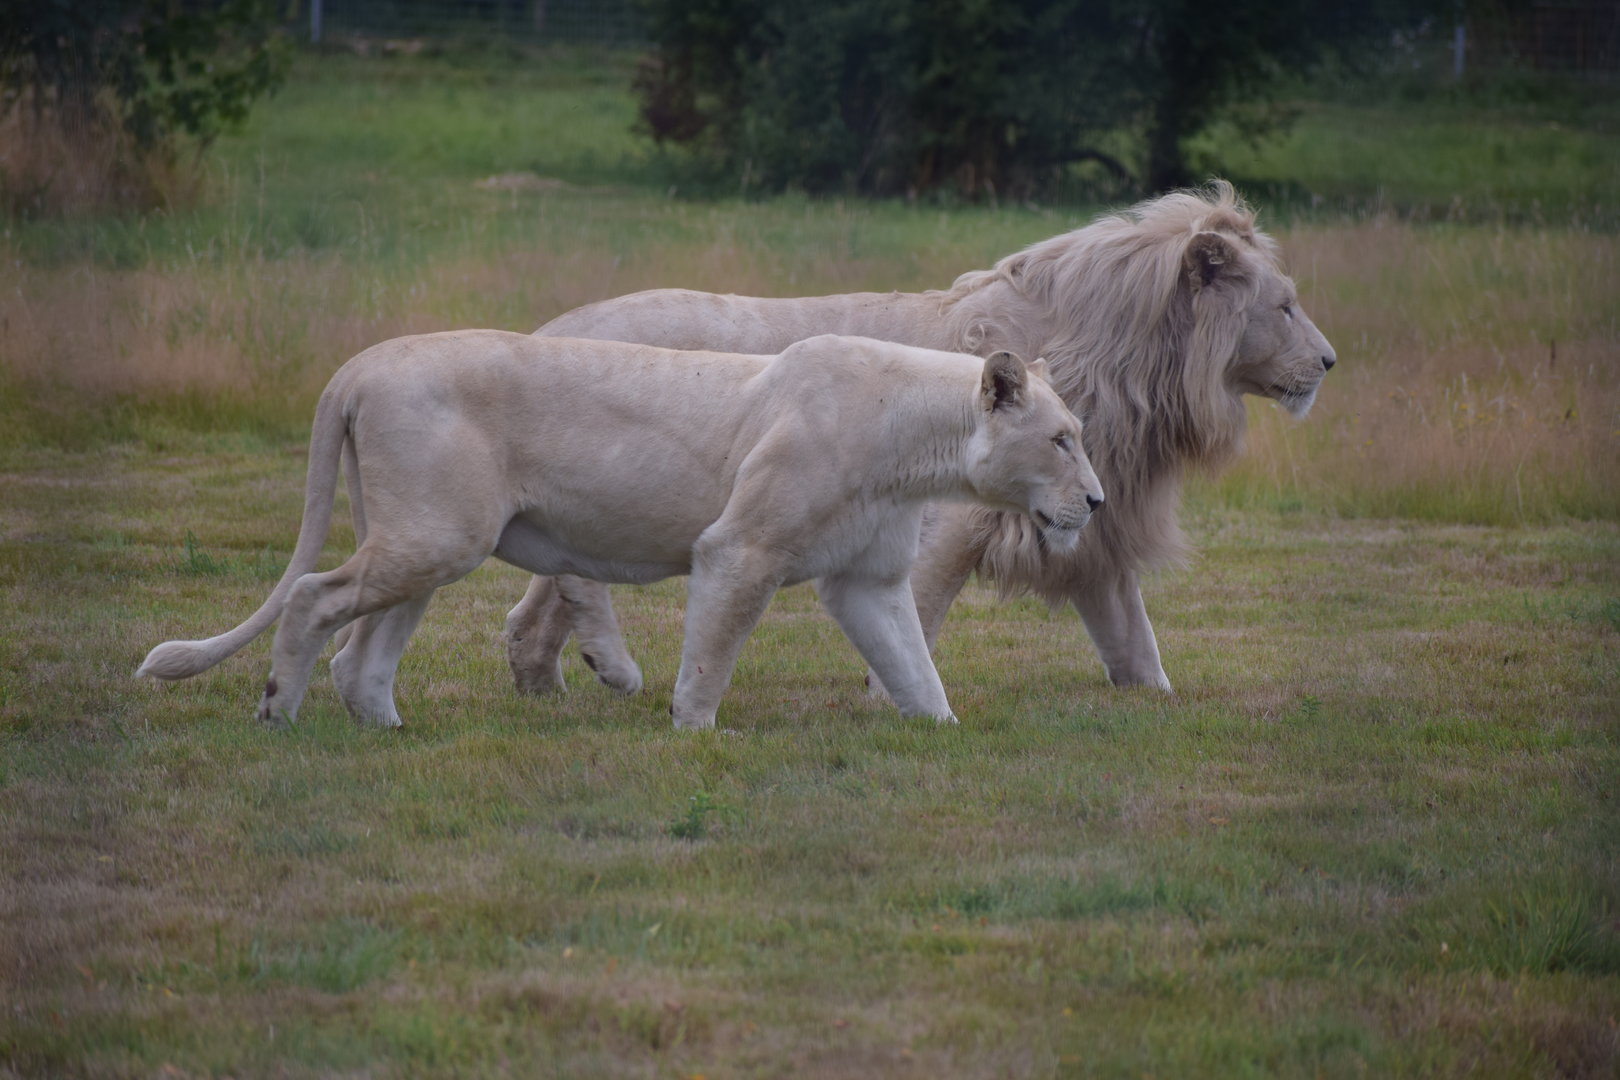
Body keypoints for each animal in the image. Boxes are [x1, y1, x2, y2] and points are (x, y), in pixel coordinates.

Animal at [136, 332, 1103, 730]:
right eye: (1061, 439)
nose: (1095, 503)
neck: (916, 447)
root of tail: (357, 367)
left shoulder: (865, 580)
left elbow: (912, 666)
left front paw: (942, 732)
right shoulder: (739, 550)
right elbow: (712, 653)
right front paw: (693, 734)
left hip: (432, 542)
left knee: (362, 649)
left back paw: (388, 730)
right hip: (435, 536)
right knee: (310, 596)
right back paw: (278, 713)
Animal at [500, 181, 1335, 697]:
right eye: (1286, 307)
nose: (1329, 361)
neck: (1132, 369)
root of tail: (544, 326)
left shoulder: (1091, 530)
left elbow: (1135, 639)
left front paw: (1157, 698)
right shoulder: (951, 520)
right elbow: (922, 608)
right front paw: (887, 695)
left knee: (537, 602)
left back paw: (553, 682)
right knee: (575, 582)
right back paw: (613, 664)